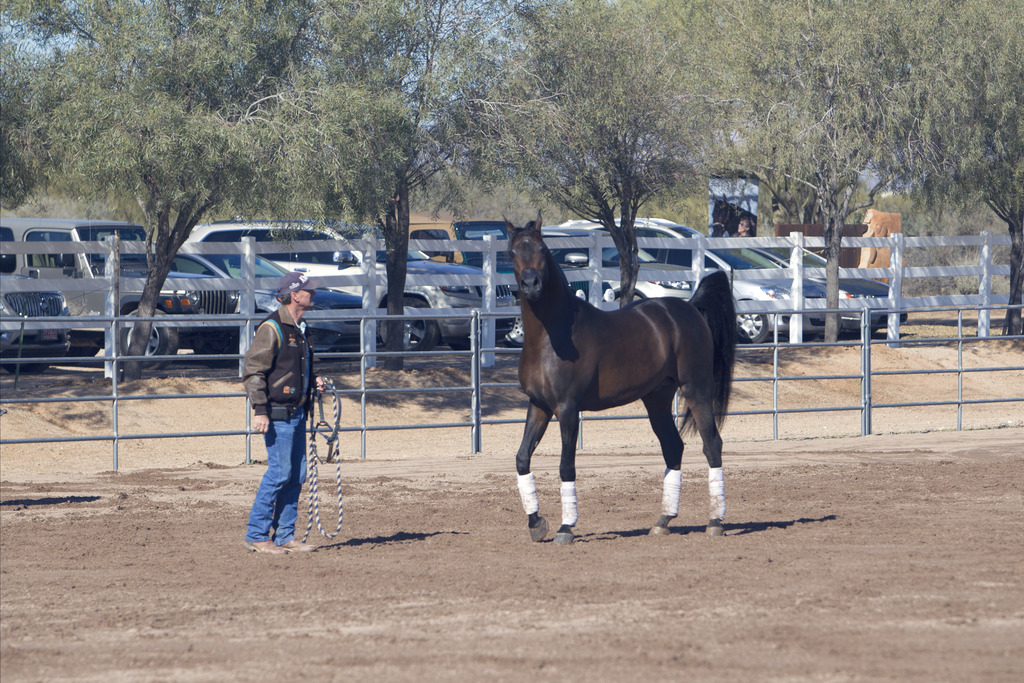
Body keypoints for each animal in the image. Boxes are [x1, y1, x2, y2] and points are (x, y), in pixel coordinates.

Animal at [508, 212, 737, 544]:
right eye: (512, 252)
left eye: (541, 248)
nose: (531, 284)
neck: (551, 336)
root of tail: (689, 307)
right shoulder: (538, 406)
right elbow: (522, 458)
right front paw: (536, 523)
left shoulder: (567, 409)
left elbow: (566, 466)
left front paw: (566, 528)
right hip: (656, 399)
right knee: (674, 448)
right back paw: (663, 521)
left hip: (696, 391)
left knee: (712, 445)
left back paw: (715, 522)